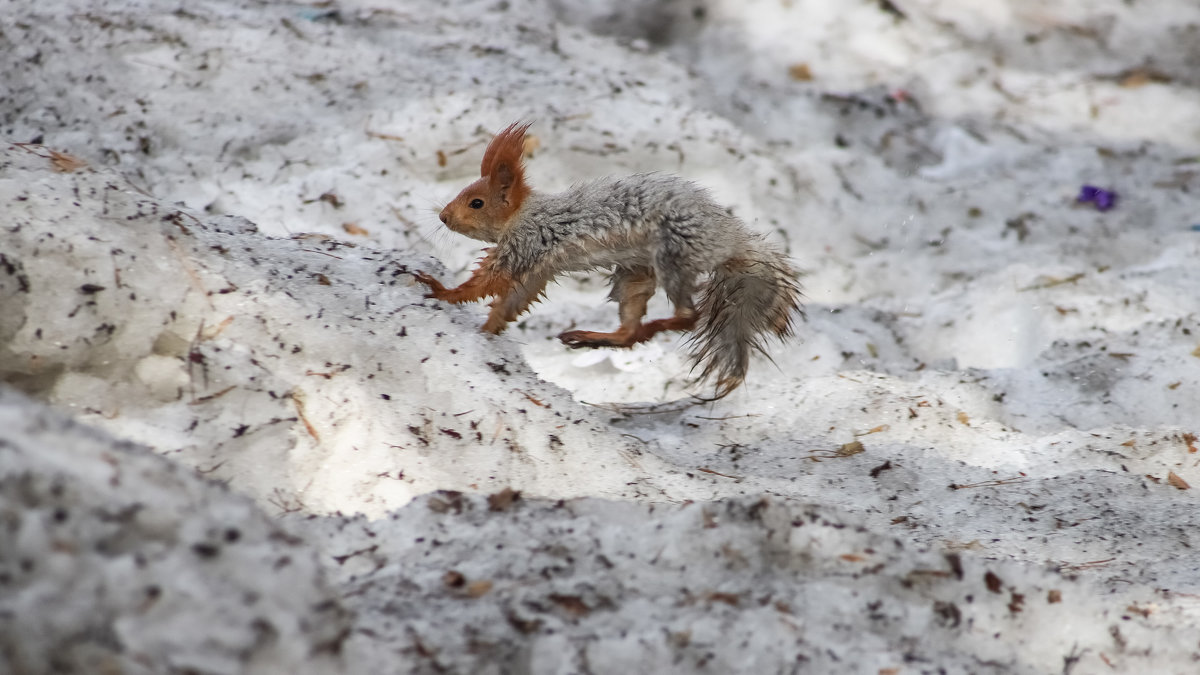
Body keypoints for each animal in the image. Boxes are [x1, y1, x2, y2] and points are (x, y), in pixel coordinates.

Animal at [415, 121, 806, 396]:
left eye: (476, 203)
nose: (443, 217)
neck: (525, 216)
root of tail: (729, 241)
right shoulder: (538, 268)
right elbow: (511, 301)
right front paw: (487, 332)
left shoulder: (527, 246)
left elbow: (487, 282)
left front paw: (440, 291)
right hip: (635, 274)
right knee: (629, 331)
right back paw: (591, 337)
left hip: (673, 255)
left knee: (687, 316)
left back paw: (651, 326)